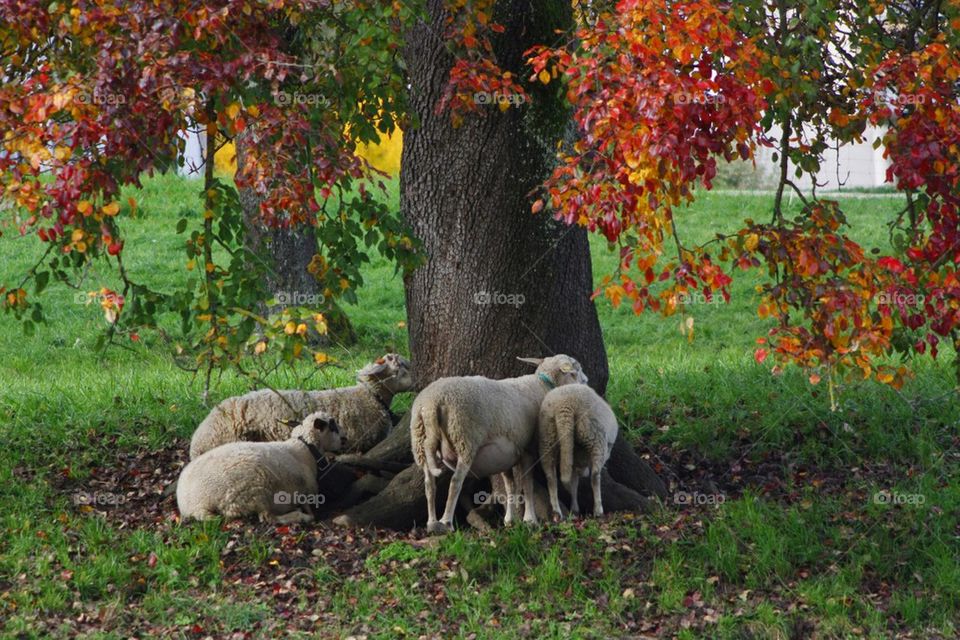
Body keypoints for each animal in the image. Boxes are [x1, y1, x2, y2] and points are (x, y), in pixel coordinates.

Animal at [174, 412, 344, 524]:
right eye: (333, 427)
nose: (345, 440)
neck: (304, 448)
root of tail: (193, 505)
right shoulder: (307, 491)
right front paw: (308, 514)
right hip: (254, 493)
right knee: (268, 518)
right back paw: (301, 517)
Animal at [410, 356, 588, 536]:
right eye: (575, 371)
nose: (586, 382)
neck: (542, 385)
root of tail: (431, 403)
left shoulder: (505, 456)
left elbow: (510, 486)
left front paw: (510, 519)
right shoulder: (528, 449)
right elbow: (527, 485)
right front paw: (530, 519)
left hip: (420, 441)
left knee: (429, 483)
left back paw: (431, 522)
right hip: (465, 439)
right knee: (455, 482)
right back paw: (446, 522)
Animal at [536, 382, 620, 516]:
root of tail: (565, 404)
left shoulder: (574, 461)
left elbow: (574, 483)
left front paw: (574, 507)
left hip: (547, 437)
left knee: (550, 477)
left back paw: (556, 510)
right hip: (595, 435)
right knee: (595, 476)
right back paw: (598, 509)